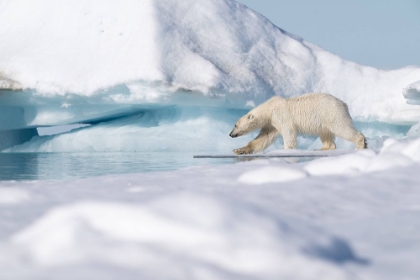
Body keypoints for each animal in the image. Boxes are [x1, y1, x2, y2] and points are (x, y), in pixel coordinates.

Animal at [230, 94, 368, 155]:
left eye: (235, 125)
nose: (230, 134)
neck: (269, 108)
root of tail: (344, 104)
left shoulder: (281, 116)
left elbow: (289, 132)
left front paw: (287, 149)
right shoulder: (272, 123)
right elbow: (263, 138)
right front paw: (239, 150)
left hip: (332, 114)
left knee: (343, 128)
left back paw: (361, 144)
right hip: (324, 121)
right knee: (325, 134)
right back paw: (321, 148)